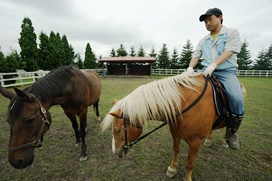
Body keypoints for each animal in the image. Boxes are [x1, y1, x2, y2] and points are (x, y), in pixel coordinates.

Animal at [102, 73, 246, 181]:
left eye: (117, 130)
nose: (115, 152)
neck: (182, 104)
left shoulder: (195, 142)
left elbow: (190, 163)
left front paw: (187, 178)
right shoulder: (175, 133)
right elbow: (175, 150)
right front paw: (172, 169)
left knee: (230, 127)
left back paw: (227, 141)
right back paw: (209, 140)